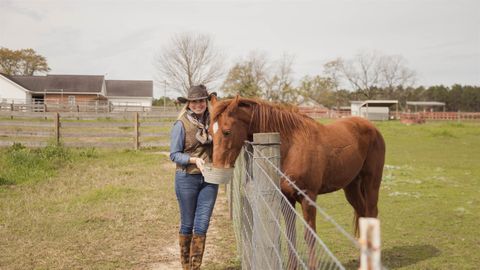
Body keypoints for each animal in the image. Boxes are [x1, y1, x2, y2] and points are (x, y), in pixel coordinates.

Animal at [208, 95, 384, 268]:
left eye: (226, 132)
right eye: (210, 132)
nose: (218, 167)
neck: (292, 146)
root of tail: (371, 127)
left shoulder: (308, 198)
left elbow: (309, 236)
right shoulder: (286, 198)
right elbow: (290, 233)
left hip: (372, 184)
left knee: (372, 213)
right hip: (351, 187)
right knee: (362, 216)